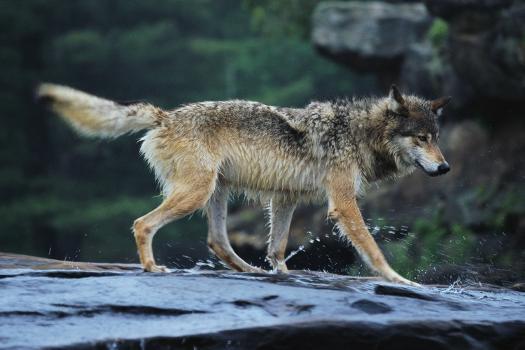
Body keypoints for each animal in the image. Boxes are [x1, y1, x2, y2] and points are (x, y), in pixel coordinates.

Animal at [36, 83, 448, 286]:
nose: (445, 167)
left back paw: (250, 273)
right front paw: (400, 281)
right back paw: (152, 268)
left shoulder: (285, 199)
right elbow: (374, 250)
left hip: (214, 195)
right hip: (196, 194)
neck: (360, 132)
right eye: (421, 138)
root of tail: (165, 116)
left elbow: (277, 248)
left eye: (436, 137)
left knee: (217, 242)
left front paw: (283, 276)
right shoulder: (343, 203)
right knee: (143, 224)